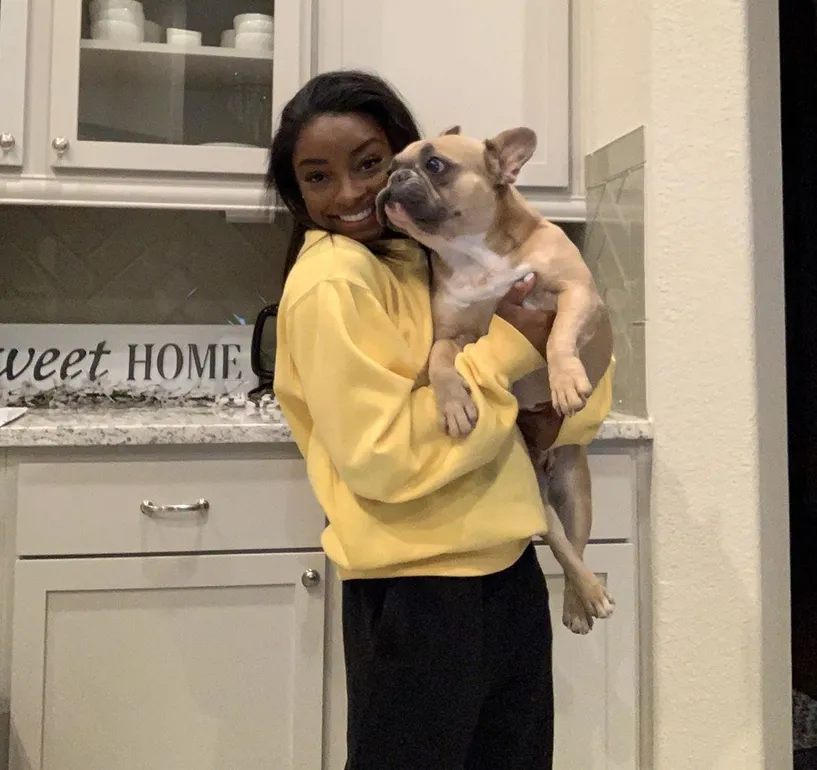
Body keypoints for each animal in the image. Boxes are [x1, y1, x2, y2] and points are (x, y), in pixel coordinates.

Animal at [375, 126, 615, 634]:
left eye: (435, 165)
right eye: (389, 166)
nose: (393, 178)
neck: (473, 255)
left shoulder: (577, 294)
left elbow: (560, 335)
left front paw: (565, 381)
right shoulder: (449, 337)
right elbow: (442, 367)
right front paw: (454, 406)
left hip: (576, 487)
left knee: (578, 542)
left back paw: (582, 601)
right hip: (538, 500)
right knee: (561, 545)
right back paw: (585, 597)